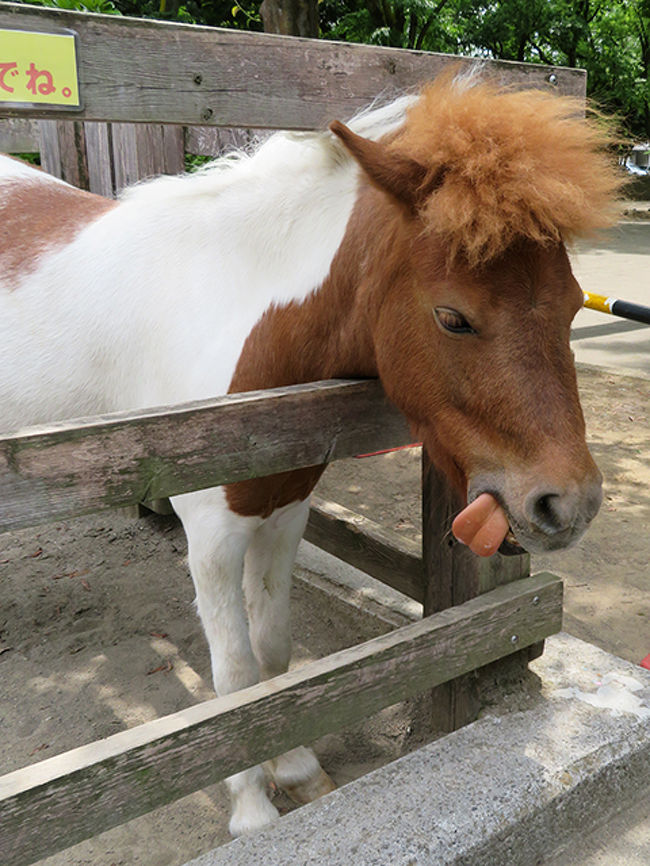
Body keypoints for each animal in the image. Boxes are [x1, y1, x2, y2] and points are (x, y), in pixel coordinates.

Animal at [0, 71, 616, 832]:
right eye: (453, 317)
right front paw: (251, 810)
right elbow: (234, 677)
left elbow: (274, 649)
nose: (570, 503)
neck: (238, 321)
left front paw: (295, 768)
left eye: (571, 305)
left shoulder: (283, 513)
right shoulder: (211, 536)